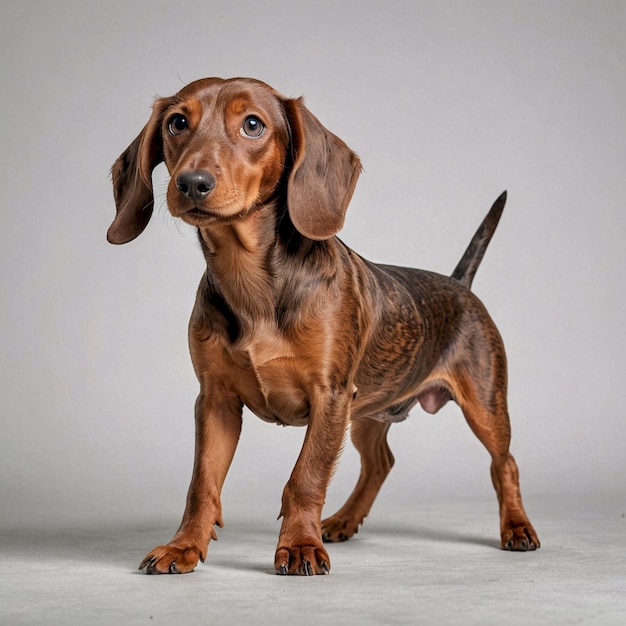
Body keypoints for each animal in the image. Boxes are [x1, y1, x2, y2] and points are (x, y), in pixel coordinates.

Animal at [107, 75, 536, 572]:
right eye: (177, 123)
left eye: (252, 124)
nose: (192, 183)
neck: (250, 280)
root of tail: (458, 284)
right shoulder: (216, 401)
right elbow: (202, 485)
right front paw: (184, 546)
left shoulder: (329, 395)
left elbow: (306, 477)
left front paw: (298, 546)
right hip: (368, 410)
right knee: (381, 462)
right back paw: (344, 520)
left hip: (484, 404)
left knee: (505, 464)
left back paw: (517, 528)